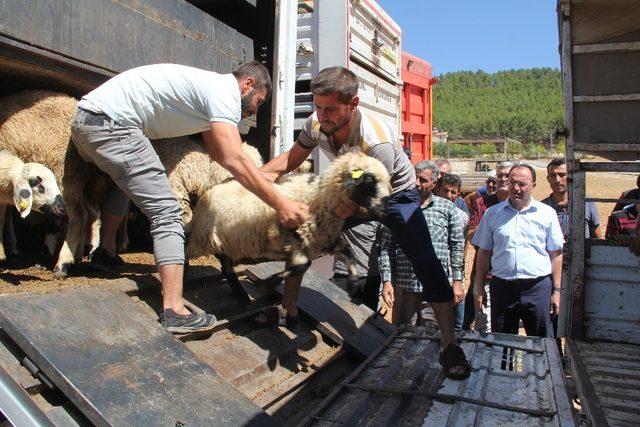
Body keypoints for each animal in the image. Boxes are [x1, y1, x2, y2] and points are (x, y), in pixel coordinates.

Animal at [186, 152, 390, 296]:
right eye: (369, 179)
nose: (385, 208)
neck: (318, 199)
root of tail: (208, 192)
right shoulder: (292, 239)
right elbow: (302, 265)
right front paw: (266, 284)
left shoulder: (326, 241)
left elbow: (349, 254)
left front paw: (353, 284)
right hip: (202, 238)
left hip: (226, 243)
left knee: (226, 266)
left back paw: (240, 295)